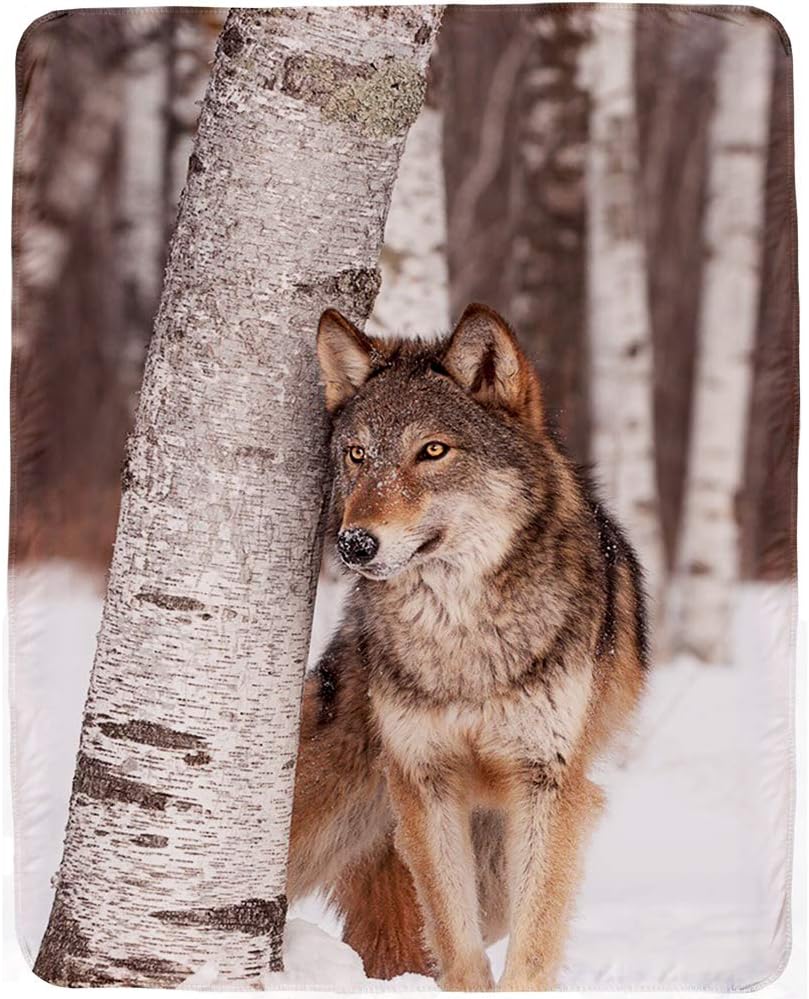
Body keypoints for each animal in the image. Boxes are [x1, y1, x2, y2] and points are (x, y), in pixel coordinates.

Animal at [286, 304, 648, 991]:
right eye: (356, 454)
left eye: (432, 451)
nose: (354, 543)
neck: (460, 636)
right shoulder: (425, 782)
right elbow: (456, 943)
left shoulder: (549, 786)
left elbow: (531, 951)